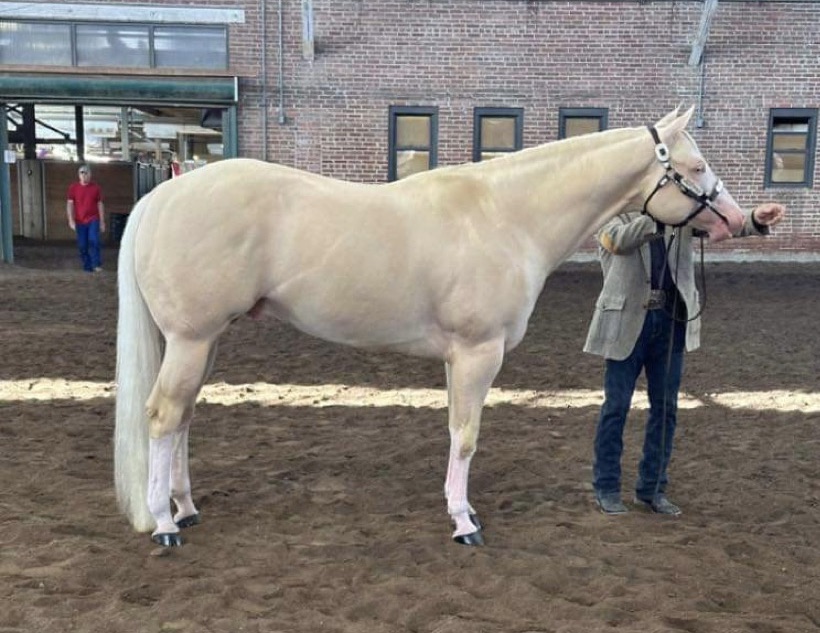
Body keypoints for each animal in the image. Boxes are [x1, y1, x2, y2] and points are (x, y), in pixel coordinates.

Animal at [117, 106, 748, 544]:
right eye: (695, 166)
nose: (737, 220)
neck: (507, 216)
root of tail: (162, 194)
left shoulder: (456, 358)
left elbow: (452, 432)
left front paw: (457, 508)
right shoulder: (478, 353)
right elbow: (466, 436)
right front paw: (465, 524)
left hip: (203, 342)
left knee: (183, 419)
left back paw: (185, 508)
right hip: (192, 340)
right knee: (163, 417)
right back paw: (164, 525)